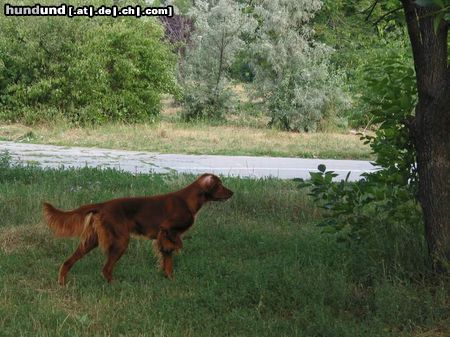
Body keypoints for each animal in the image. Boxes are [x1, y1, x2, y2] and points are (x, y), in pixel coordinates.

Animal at [42, 173, 234, 284]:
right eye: (220, 184)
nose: (232, 193)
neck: (188, 200)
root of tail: (102, 205)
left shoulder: (165, 237)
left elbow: (167, 261)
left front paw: (169, 279)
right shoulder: (167, 230)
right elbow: (170, 251)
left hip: (92, 241)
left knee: (68, 261)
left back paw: (62, 282)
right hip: (121, 241)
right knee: (106, 269)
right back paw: (115, 285)